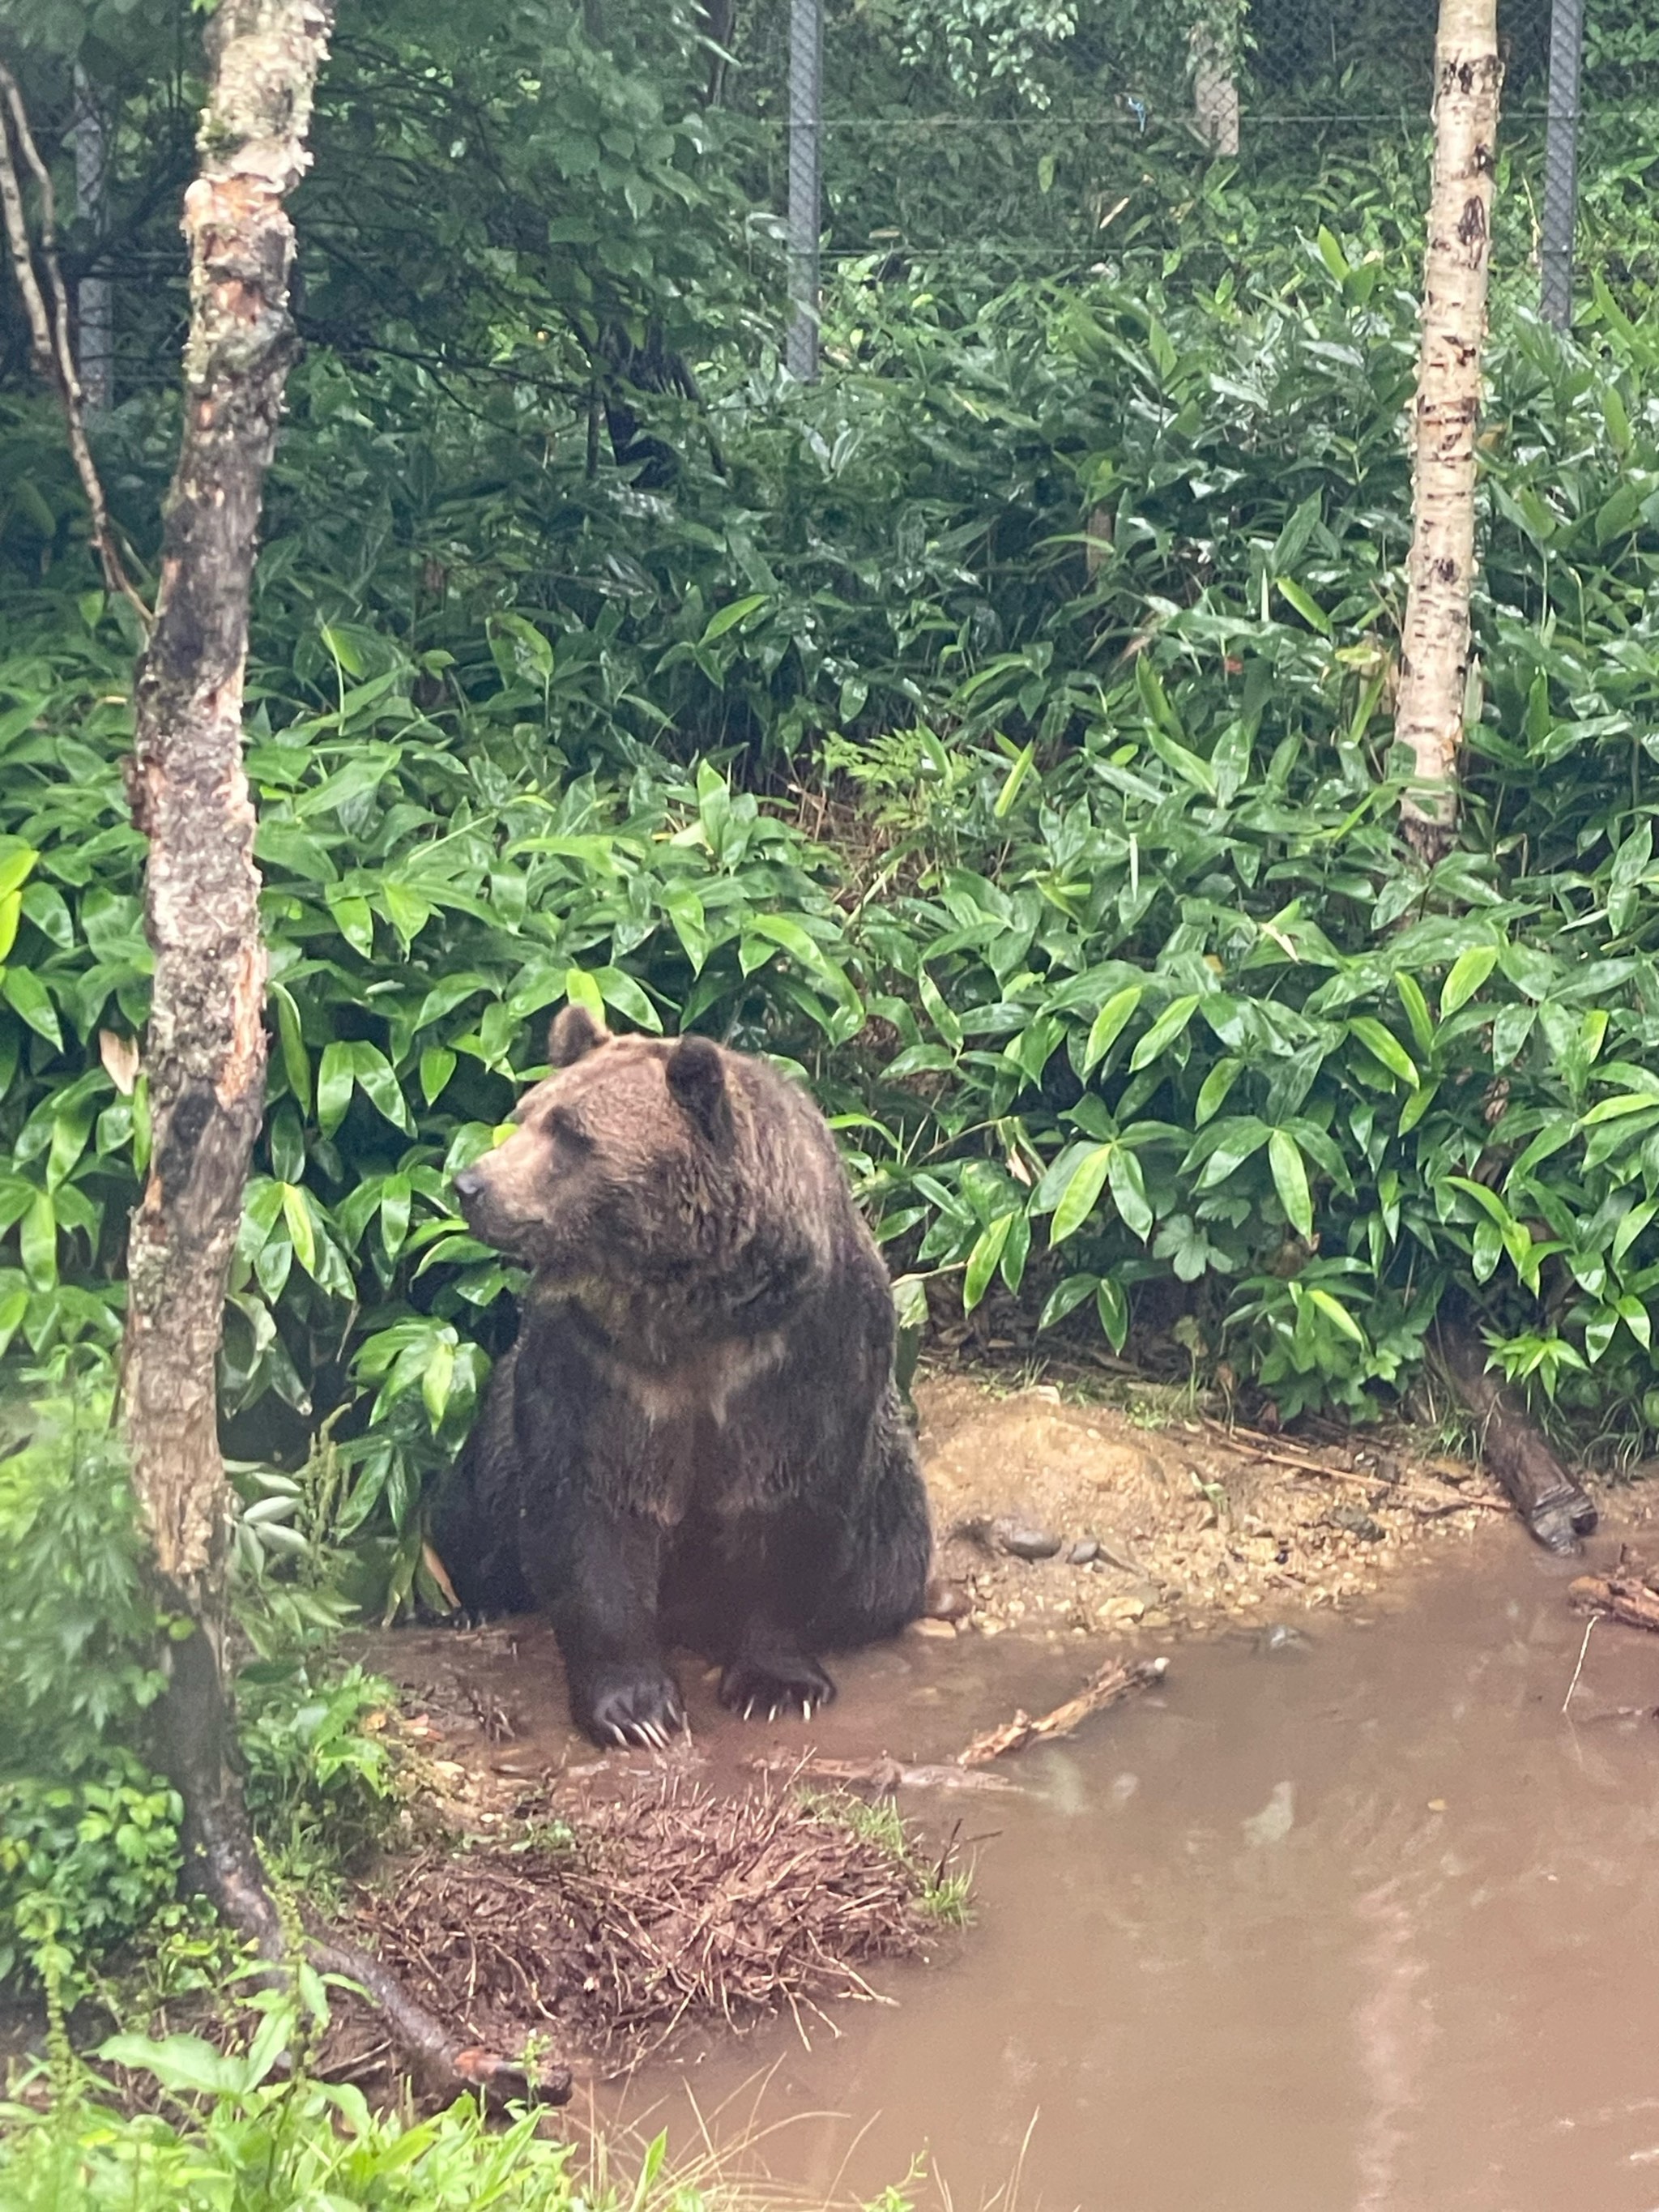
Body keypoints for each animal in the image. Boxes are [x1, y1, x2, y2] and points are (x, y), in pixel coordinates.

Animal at [442, 1004, 937, 1743]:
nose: (471, 1185)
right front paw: (634, 1709)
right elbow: (591, 1508)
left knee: (891, 1570)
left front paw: (776, 1683)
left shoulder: (800, 1350)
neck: (688, 1304)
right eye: (524, 1114)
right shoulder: (599, 1363)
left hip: (894, 1509)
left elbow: (789, 1503)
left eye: (571, 1135)